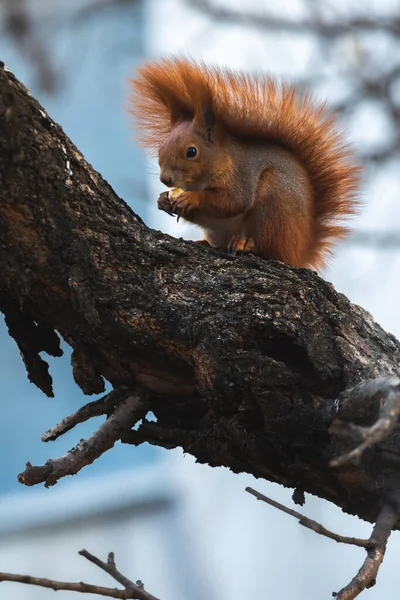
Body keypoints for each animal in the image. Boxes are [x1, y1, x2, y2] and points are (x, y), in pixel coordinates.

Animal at [130, 58, 360, 270]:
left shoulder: (241, 175)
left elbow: (233, 201)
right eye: (161, 148)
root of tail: (301, 252)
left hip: (275, 205)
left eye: (191, 152)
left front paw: (192, 198)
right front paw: (163, 199)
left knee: (272, 251)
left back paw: (247, 243)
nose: (165, 179)